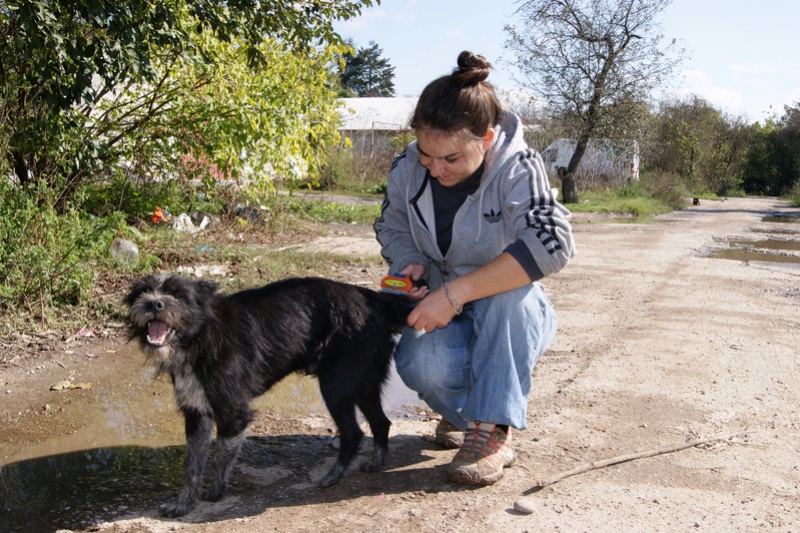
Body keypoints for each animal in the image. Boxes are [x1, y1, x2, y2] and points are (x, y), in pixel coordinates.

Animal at [126, 274, 412, 516]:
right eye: (142, 292)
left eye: (178, 294)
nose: (154, 304)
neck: (198, 339)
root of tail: (369, 297)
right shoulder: (196, 413)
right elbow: (191, 466)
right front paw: (183, 503)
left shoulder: (234, 413)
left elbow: (219, 457)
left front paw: (216, 492)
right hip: (363, 382)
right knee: (381, 422)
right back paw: (376, 461)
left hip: (336, 384)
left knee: (354, 432)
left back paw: (334, 475)